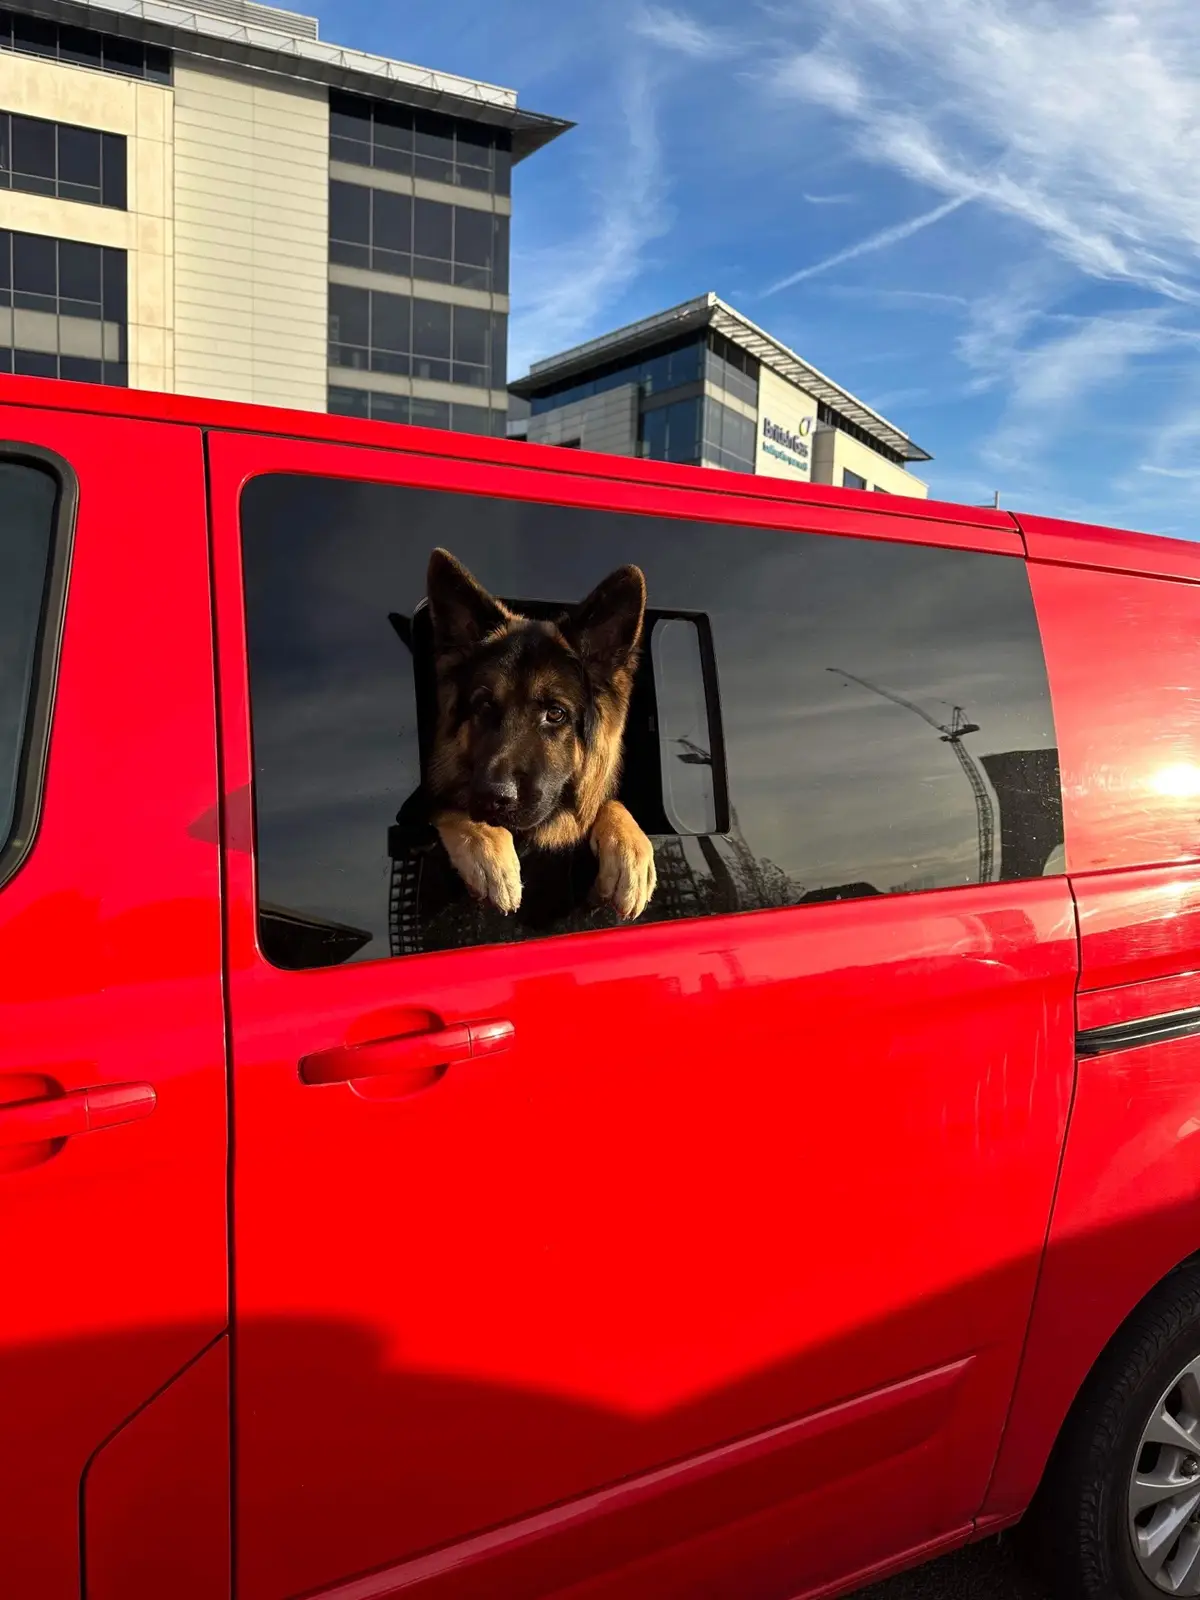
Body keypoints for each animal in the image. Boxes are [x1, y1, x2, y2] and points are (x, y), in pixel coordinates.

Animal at [428, 550, 662, 921]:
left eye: (555, 713)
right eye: (484, 705)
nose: (493, 797)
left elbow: (606, 802)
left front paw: (631, 853)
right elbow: (447, 807)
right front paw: (488, 848)